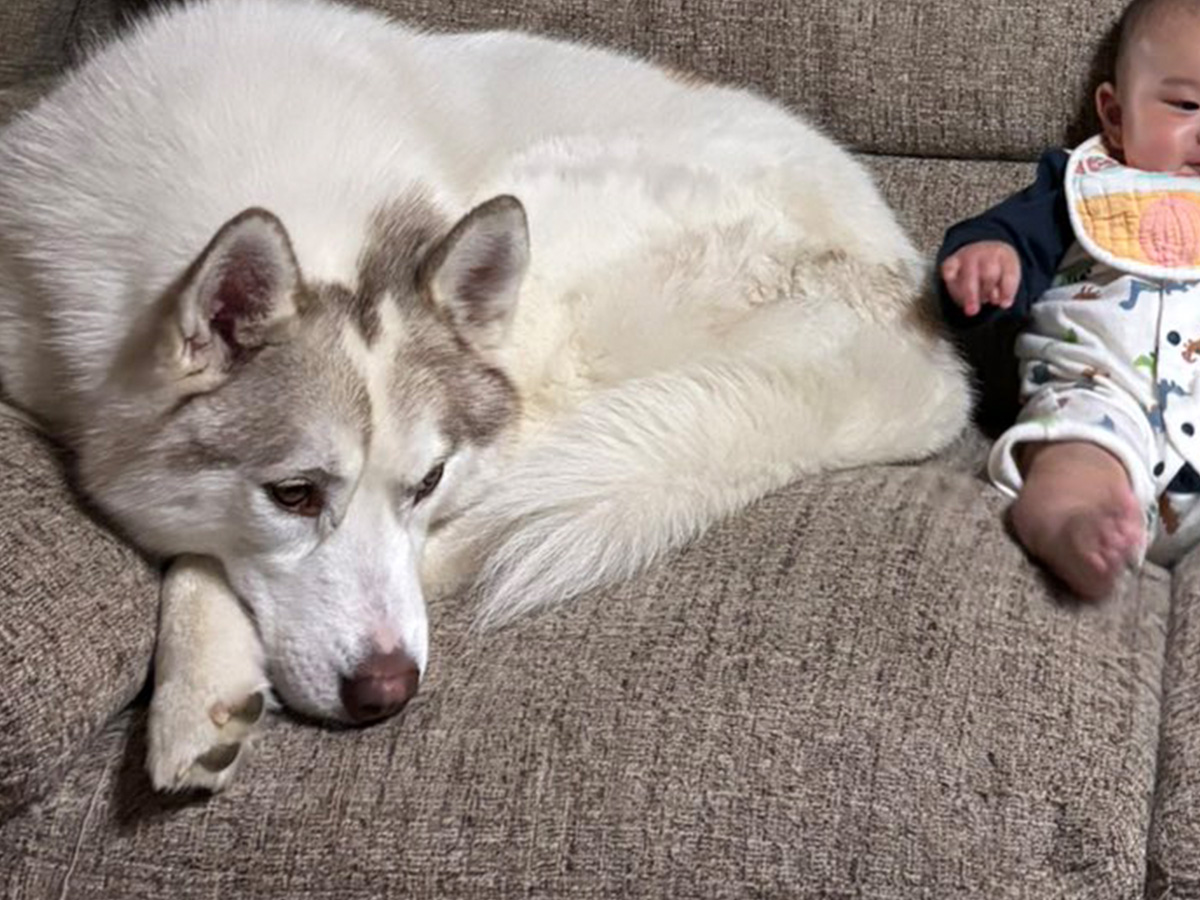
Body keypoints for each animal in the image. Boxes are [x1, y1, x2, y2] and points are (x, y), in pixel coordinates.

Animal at [0, 0, 964, 787]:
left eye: (425, 484)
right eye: (293, 494)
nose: (388, 691)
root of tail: (913, 330)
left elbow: (199, 551)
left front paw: (196, 675)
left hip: (548, 235)